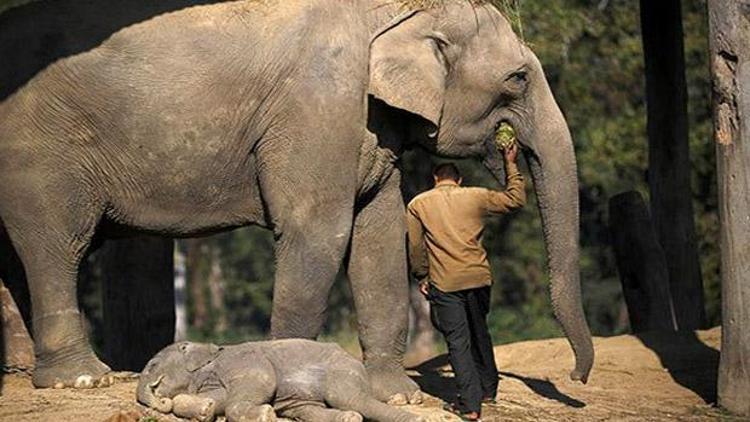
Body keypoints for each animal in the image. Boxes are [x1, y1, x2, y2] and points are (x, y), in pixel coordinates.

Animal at [0, 0, 596, 396]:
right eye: (518, 79)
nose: (575, 376)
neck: (395, 12)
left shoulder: (368, 125)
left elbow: (378, 236)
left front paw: (396, 395)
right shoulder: (319, 107)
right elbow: (319, 232)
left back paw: (25, 373)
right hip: (38, 153)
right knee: (58, 246)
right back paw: (80, 380)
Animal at [137, 340, 426, 422]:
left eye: (152, 365)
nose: (158, 397)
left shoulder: (245, 361)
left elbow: (260, 383)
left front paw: (265, 414)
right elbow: (220, 399)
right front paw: (205, 410)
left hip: (342, 371)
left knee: (350, 398)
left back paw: (416, 420)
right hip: (303, 400)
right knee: (308, 410)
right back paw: (348, 419)